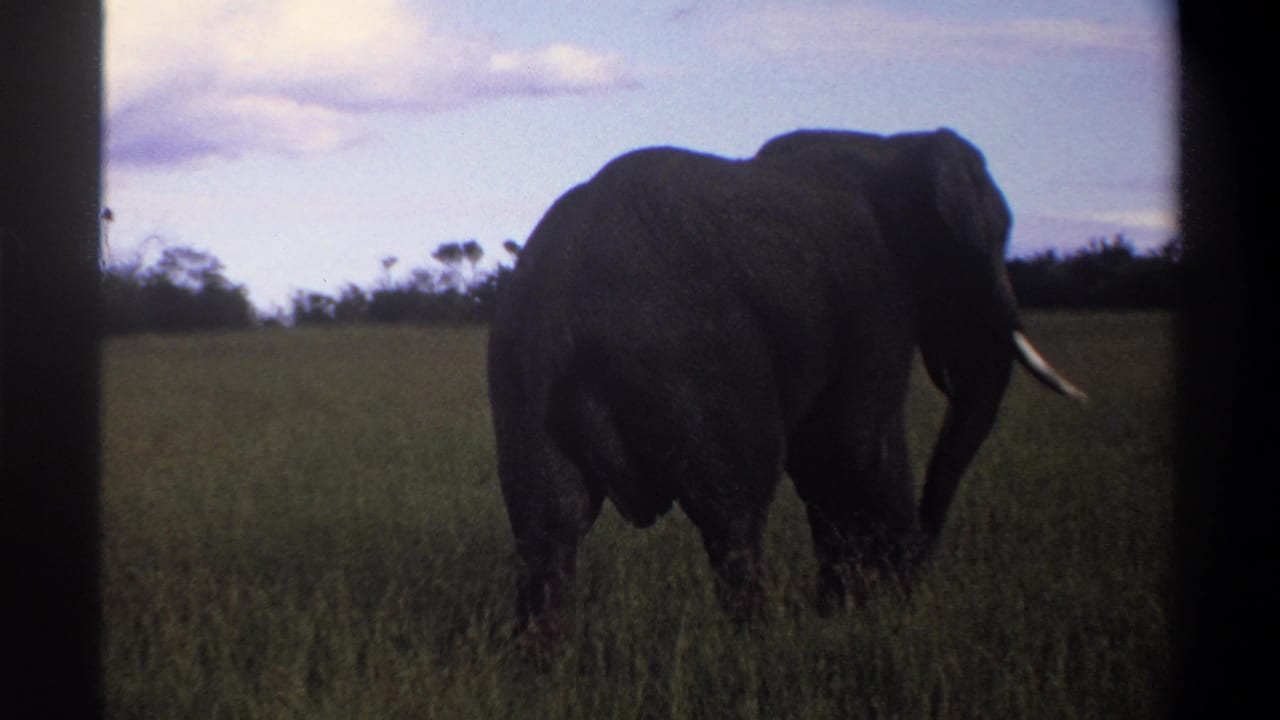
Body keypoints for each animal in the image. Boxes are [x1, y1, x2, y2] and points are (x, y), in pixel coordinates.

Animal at [487, 127, 1085, 636]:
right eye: (986, 247)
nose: (914, 568)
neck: (896, 148)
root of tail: (558, 299)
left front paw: (849, 611)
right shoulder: (873, 296)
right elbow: (856, 448)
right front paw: (869, 612)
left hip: (519, 376)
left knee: (548, 526)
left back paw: (543, 663)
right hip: (699, 359)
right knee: (734, 512)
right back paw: (756, 644)